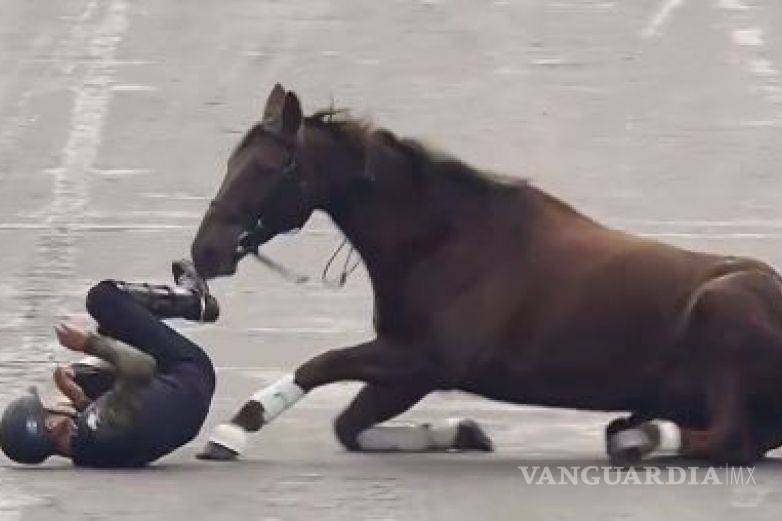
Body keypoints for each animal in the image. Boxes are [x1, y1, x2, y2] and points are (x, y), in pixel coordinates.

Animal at [191, 84, 782, 465]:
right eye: (229, 163)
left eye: (266, 169)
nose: (204, 252)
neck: (447, 242)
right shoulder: (406, 371)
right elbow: (349, 424)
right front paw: (463, 432)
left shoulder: (426, 362)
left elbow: (319, 365)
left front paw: (232, 431)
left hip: (722, 315)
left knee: (730, 442)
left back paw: (642, 437)